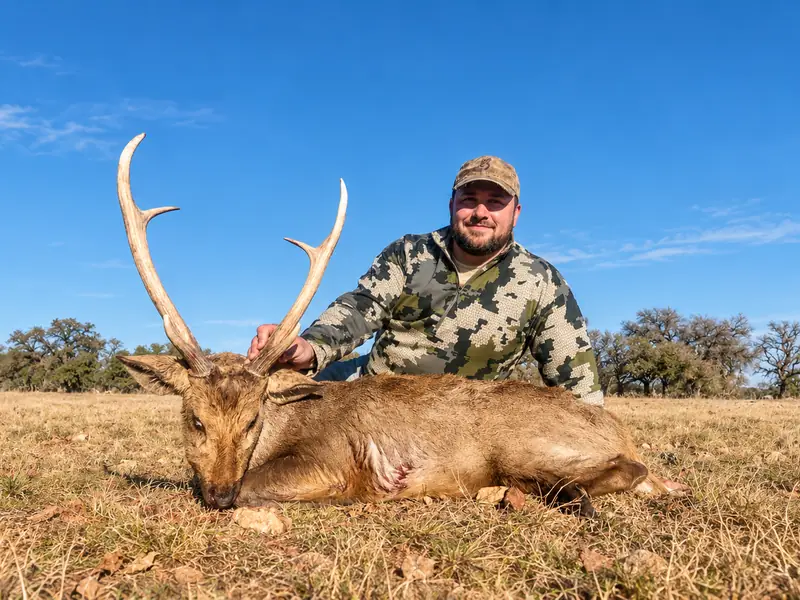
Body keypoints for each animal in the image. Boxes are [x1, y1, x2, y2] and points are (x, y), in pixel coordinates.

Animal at [114, 133, 668, 518]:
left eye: (253, 420)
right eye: (195, 419)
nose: (220, 495)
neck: (286, 425)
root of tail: (620, 431)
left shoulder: (331, 462)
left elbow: (266, 486)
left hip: (525, 445)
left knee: (629, 470)